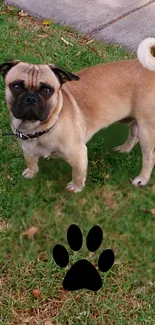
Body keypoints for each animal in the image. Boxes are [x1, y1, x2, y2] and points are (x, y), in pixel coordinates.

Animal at [0, 37, 155, 192]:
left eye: (47, 90)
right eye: (16, 86)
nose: (31, 98)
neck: (38, 129)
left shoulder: (78, 154)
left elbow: (78, 173)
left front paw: (76, 187)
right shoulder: (28, 149)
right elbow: (31, 161)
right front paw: (31, 172)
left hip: (147, 129)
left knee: (149, 157)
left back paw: (141, 179)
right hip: (137, 122)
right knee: (134, 135)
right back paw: (123, 149)